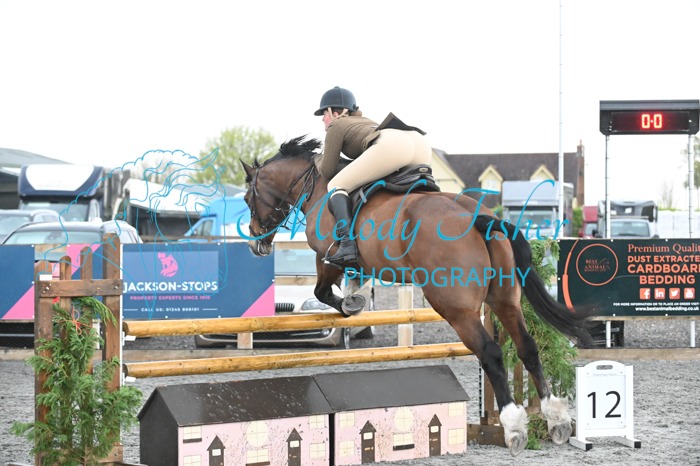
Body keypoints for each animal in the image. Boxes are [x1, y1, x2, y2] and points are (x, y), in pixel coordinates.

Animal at [240, 135, 594, 456]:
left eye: (246, 197)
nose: (256, 245)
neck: (315, 184)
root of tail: (479, 219)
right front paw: (354, 298)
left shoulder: (326, 256)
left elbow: (323, 290)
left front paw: (351, 305)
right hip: (504, 300)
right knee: (527, 347)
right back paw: (556, 419)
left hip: (457, 309)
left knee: (491, 353)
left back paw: (513, 427)